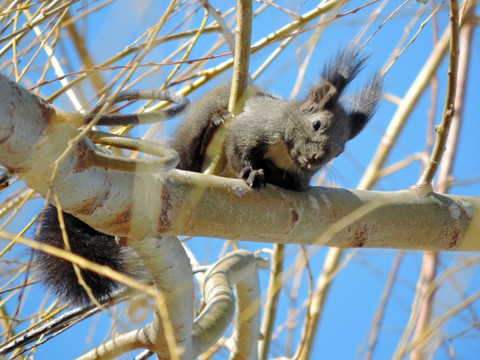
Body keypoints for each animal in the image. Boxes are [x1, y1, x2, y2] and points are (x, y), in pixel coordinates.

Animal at [31, 45, 382, 304]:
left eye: (339, 152)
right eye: (317, 124)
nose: (316, 159)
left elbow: (294, 184)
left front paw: (284, 178)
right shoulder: (249, 130)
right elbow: (239, 152)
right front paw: (250, 172)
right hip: (195, 134)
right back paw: (215, 124)